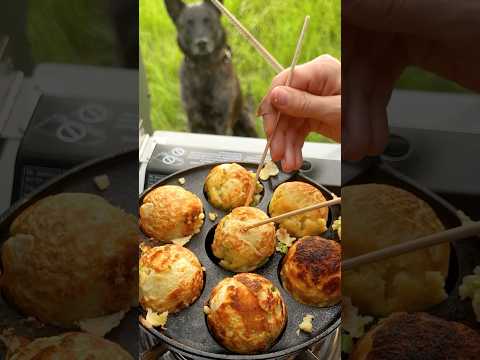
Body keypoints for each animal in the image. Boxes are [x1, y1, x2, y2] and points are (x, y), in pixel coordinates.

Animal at [164, 0, 256, 137]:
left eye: (208, 20)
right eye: (188, 23)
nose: (201, 43)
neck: (204, 68)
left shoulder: (222, 123)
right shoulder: (193, 121)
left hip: (245, 119)